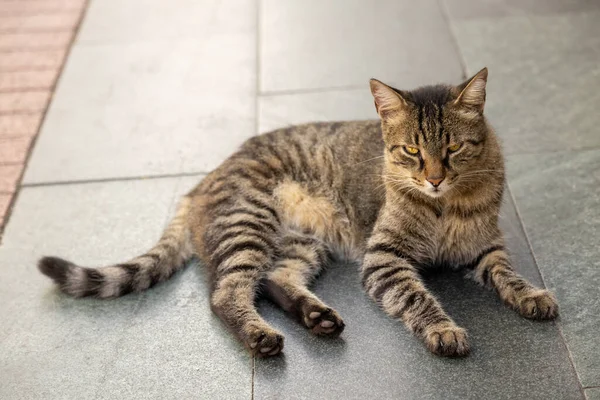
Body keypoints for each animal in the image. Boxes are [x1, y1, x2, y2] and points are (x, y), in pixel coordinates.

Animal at [37, 67, 556, 358]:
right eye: (411, 151)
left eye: (452, 149)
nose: (433, 178)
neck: (444, 205)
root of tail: (203, 179)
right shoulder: (384, 257)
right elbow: (416, 298)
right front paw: (444, 329)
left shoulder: (485, 246)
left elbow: (508, 274)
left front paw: (532, 295)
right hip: (248, 223)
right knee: (226, 293)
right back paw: (261, 337)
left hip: (301, 243)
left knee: (274, 279)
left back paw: (316, 316)